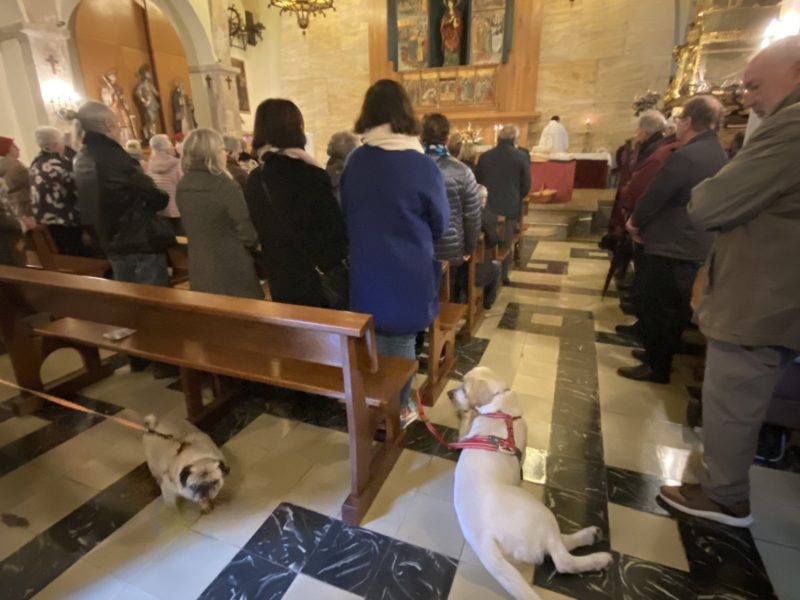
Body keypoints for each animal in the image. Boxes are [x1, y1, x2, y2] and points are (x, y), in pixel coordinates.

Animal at [450, 366, 612, 600]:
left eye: (464, 386)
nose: (449, 394)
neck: (499, 410)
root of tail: (484, 541)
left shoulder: (466, 438)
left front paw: (464, 414)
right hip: (541, 514)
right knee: (562, 559)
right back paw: (597, 554)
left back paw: (591, 536)